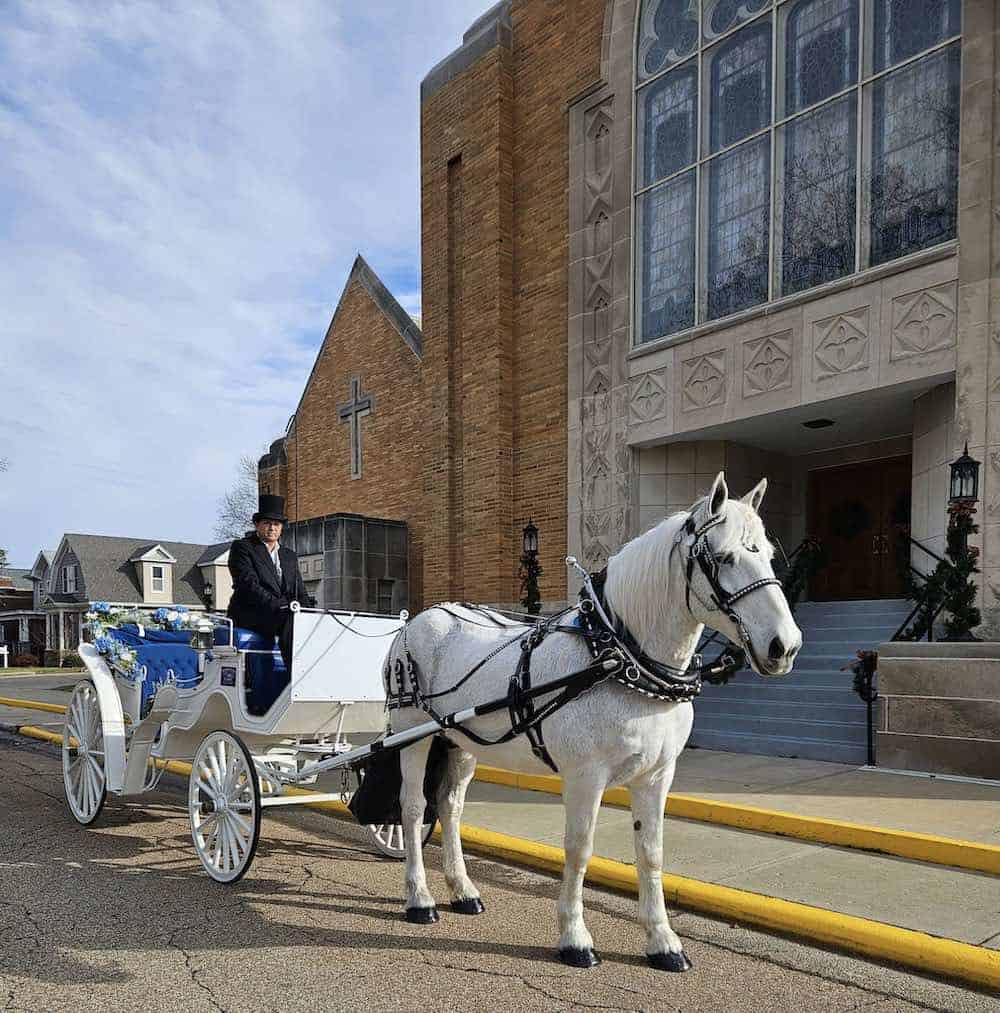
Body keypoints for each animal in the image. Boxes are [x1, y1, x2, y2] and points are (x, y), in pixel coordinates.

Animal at [383, 472, 802, 970]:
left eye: (770, 555)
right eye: (722, 558)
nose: (785, 645)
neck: (619, 657)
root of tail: (417, 620)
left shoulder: (657, 775)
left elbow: (651, 853)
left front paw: (663, 941)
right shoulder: (586, 776)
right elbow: (579, 849)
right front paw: (575, 937)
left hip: (460, 740)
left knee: (449, 806)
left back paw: (463, 890)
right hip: (411, 735)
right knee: (412, 808)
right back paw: (419, 898)